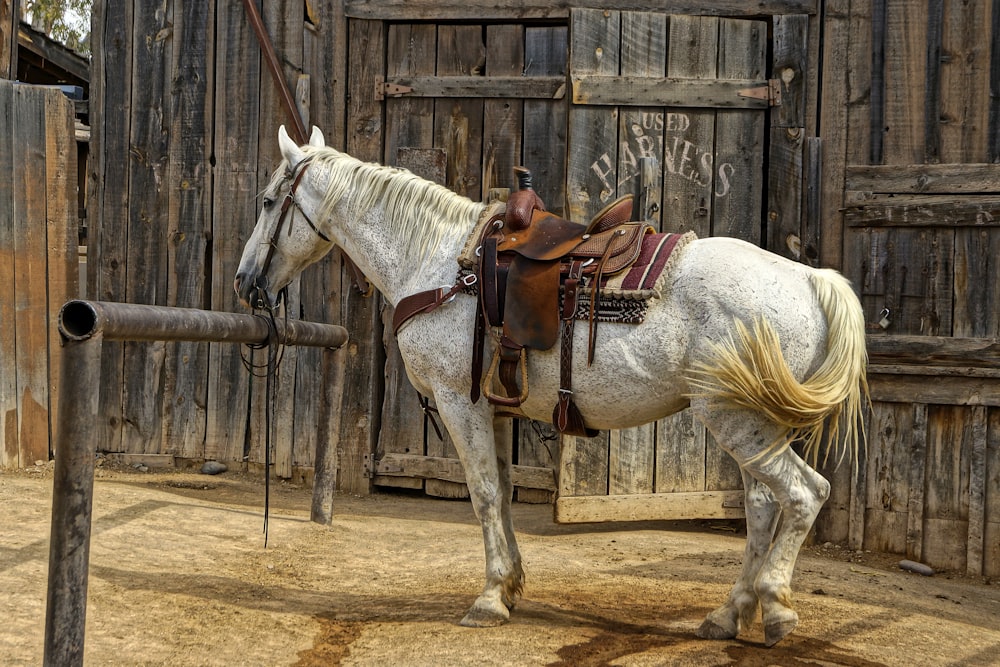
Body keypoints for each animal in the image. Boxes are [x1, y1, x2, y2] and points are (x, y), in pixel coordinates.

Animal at [234, 125, 868, 648]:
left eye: (267, 201)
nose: (243, 281)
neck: (440, 264)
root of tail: (812, 280)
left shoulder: (459, 403)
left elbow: (483, 494)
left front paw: (490, 598)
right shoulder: (494, 408)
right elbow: (503, 492)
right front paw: (511, 585)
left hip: (737, 420)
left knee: (803, 494)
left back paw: (776, 608)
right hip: (750, 424)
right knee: (763, 506)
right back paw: (727, 614)